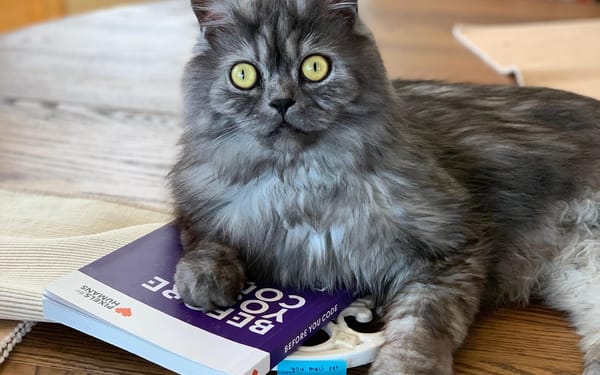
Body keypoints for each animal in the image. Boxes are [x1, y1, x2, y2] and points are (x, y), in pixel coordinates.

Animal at [169, 1, 600, 374]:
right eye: (244, 75)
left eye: (315, 67)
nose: (281, 102)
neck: (302, 185)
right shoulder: (197, 202)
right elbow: (207, 241)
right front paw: (203, 284)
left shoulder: (453, 248)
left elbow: (418, 332)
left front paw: (404, 368)